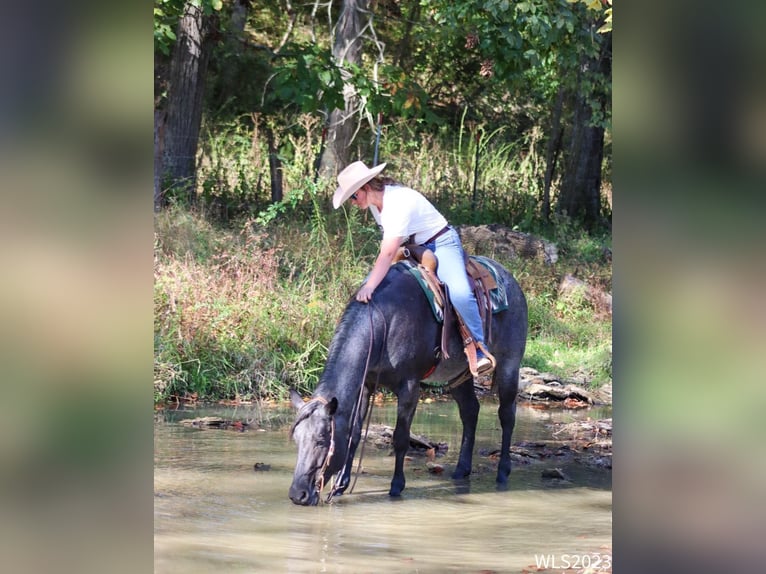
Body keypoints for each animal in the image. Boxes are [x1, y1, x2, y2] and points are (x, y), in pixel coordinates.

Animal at [288, 258, 528, 506]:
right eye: (296, 439)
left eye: (322, 440)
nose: (298, 494)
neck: (386, 322)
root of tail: (510, 280)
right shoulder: (366, 385)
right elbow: (354, 432)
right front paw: (340, 486)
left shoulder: (409, 386)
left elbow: (401, 437)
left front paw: (396, 486)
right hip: (458, 376)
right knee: (470, 411)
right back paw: (462, 470)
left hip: (509, 364)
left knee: (507, 415)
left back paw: (503, 472)